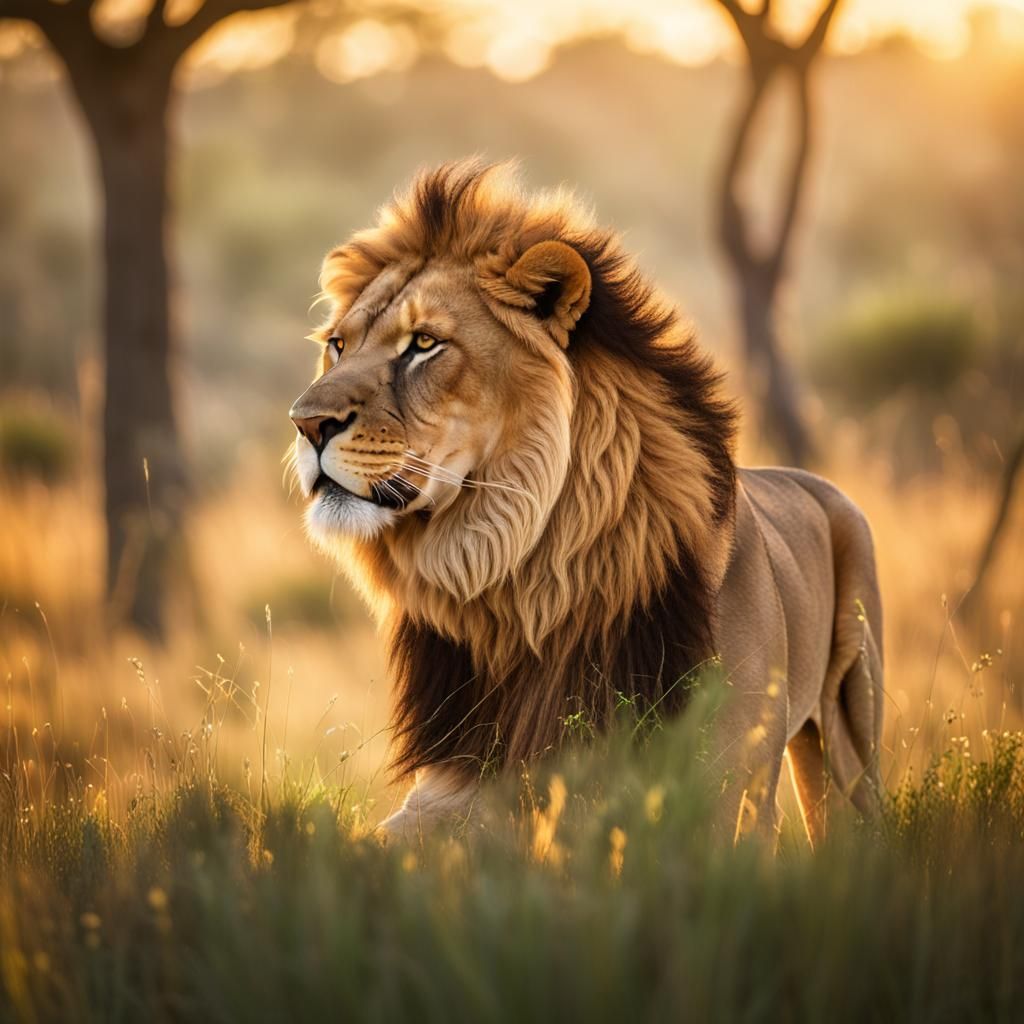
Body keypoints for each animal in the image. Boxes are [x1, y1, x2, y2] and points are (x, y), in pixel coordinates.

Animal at [288, 160, 883, 846]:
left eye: (425, 343)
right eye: (338, 344)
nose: (305, 424)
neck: (532, 584)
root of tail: (814, 481)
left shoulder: (733, 791)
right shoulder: (471, 780)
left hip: (851, 732)